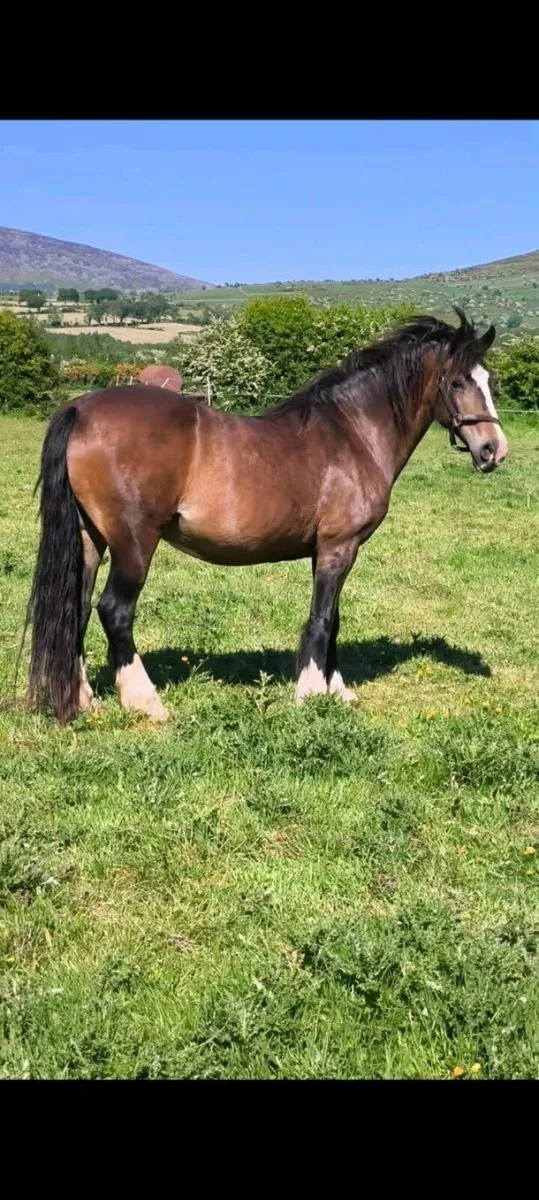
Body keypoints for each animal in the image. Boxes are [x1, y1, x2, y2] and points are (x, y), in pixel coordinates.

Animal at [26, 309, 508, 725]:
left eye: (489, 380)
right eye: (459, 381)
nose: (494, 450)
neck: (352, 434)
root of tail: (81, 409)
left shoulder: (328, 552)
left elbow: (334, 619)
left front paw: (337, 691)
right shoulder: (339, 548)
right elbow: (322, 621)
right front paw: (311, 694)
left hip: (91, 539)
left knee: (76, 610)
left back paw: (83, 700)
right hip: (134, 544)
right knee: (114, 612)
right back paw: (147, 703)